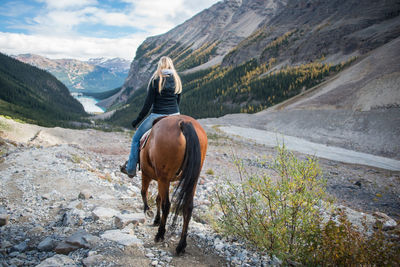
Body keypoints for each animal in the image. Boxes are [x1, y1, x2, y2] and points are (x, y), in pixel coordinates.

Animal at [139, 114, 208, 255]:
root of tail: (184, 123)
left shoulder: (147, 174)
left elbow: (145, 192)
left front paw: (148, 211)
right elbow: (157, 198)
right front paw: (156, 218)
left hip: (163, 177)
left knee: (167, 205)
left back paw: (160, 234)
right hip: (192, 179)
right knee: (188, 207)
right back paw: (181, 245)